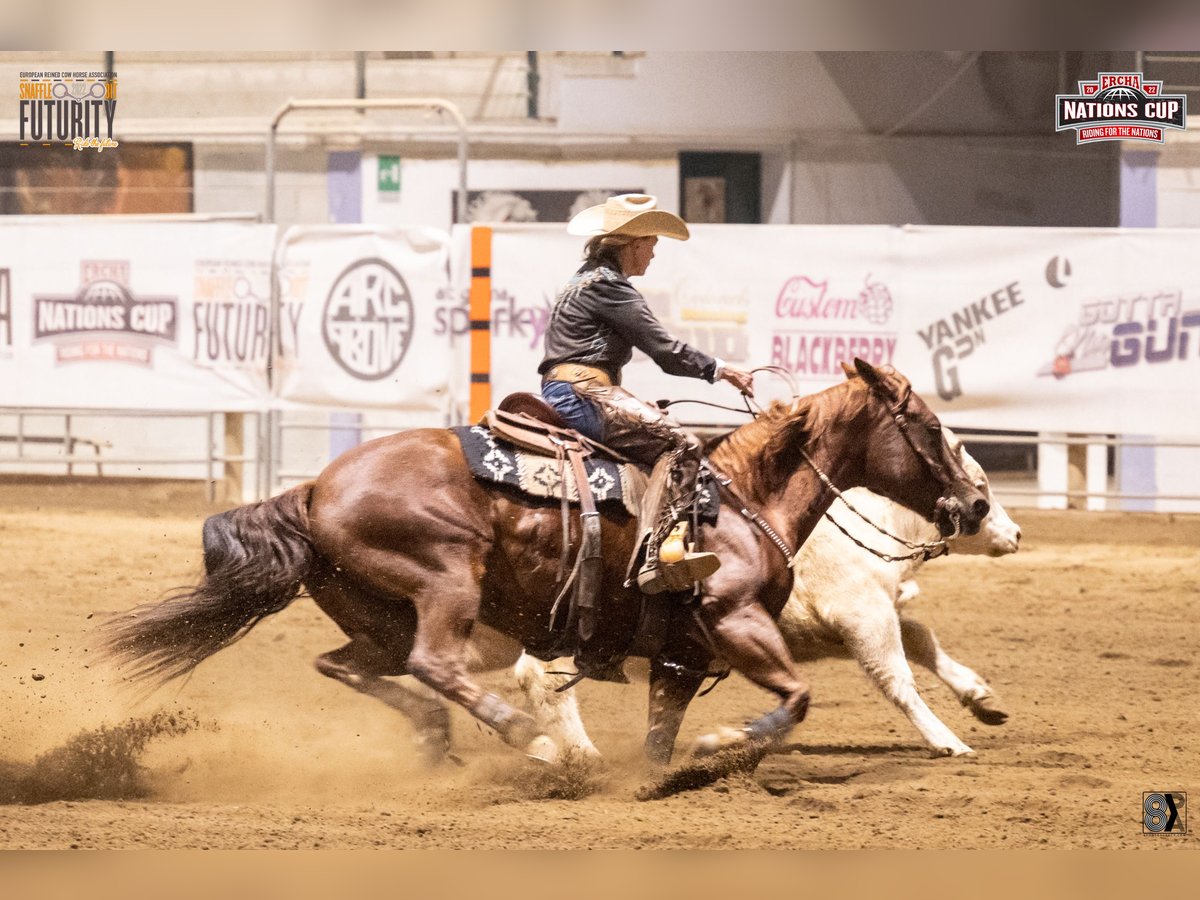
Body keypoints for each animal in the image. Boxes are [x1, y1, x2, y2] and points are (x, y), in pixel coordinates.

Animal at [100, 362, 984, 768]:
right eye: (934, 429)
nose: (976, 506)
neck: (742, 497)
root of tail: (314, 487)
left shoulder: (679, 654)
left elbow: (663, 734)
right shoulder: (733, 621)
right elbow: (797, 697)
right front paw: (725, 738)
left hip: (373, 616)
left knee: (352, 664)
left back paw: (444, 738)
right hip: (444, 579)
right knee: (437, 662)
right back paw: (531, 740)